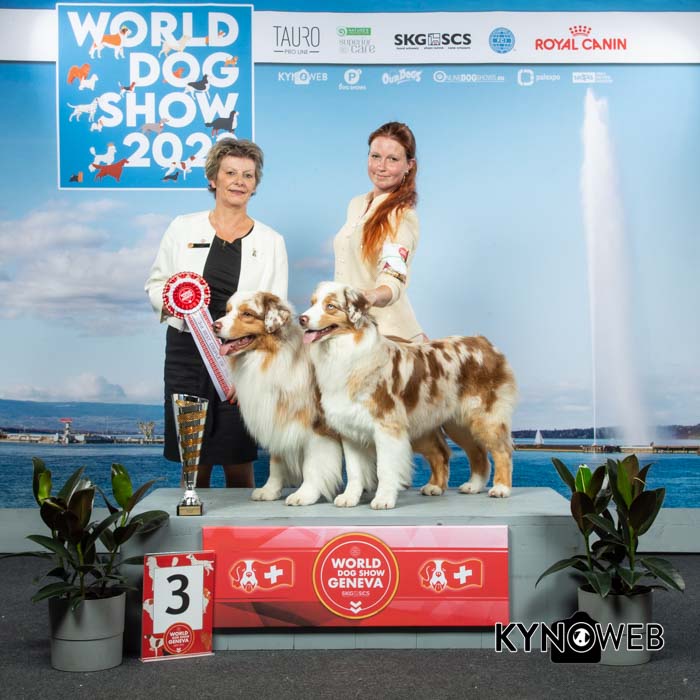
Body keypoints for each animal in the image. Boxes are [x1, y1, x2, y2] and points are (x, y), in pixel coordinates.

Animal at [213, 290, 343, 505]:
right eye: (227, 311)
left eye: (247, 314)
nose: (214, 325)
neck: (270, 356)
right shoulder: (276, 417)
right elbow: (276, 463)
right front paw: (269, 490)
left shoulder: (318, 427)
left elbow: (312, 464)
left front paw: (305, 494)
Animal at [300, 282, 518, 509]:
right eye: (312, 303)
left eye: (331, 306)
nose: (301, 319)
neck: (346, 351)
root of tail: (484, 343)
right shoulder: (350, 429)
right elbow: (354, 471)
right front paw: (349, 497)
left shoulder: (387, 427)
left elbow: (385, 469)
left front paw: (383, 499)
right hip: (452, 423)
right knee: (465, 452)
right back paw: (462, 486)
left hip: (485, 416)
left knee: (502, 451)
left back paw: (501, 488)